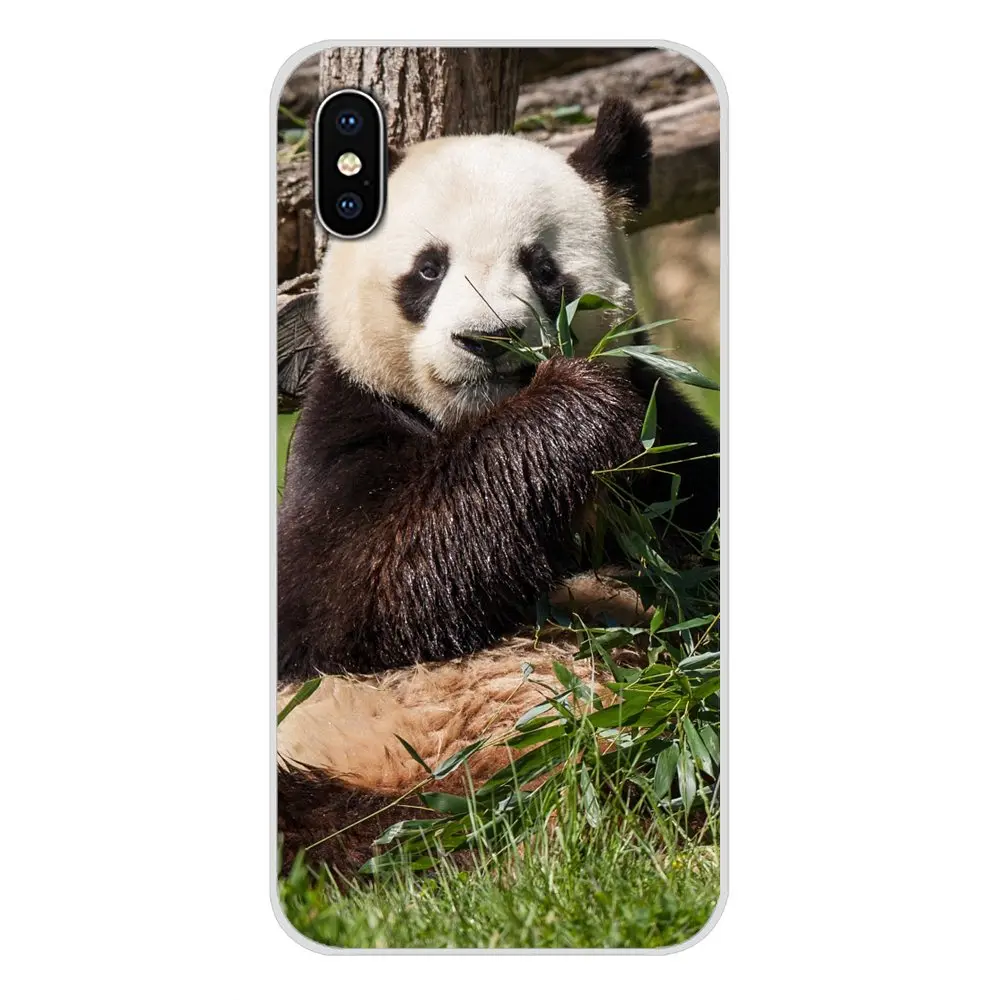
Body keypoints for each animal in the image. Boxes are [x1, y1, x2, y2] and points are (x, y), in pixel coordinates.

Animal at [277, 97, 719, 876]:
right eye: (428, 269)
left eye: (543, 269)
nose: (487, 340)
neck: (475, 418)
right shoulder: (339, 434)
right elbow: (362, 585)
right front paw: (575, 407)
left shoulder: (672, 455)